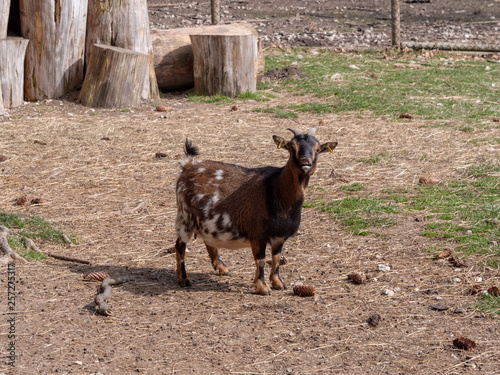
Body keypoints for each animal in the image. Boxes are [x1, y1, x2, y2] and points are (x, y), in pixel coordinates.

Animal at [174, 128, 338, 296]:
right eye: (291, 147)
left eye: (317, 149)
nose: (305, 162)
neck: (277, 189)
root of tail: (188, 165)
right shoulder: (258, 235)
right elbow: (260, 260)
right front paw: (262, 287)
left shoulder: (279, 237)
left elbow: (276, 258)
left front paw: (278, 283)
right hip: (184, 217)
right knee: (180, 245)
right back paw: (183, 279)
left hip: (206, 222)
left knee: (208, 241)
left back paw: (223, 269)